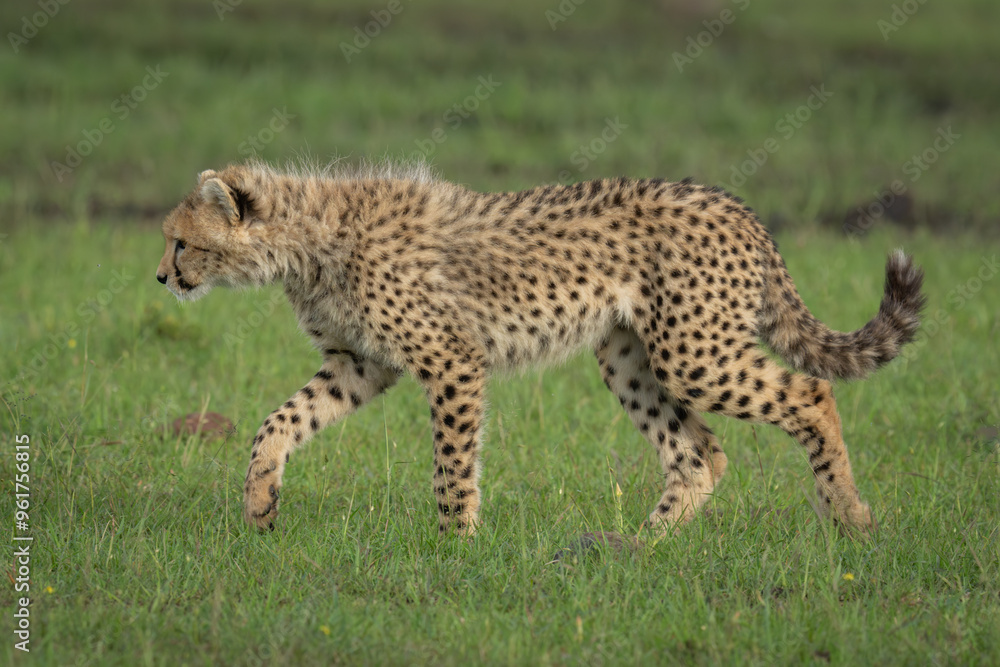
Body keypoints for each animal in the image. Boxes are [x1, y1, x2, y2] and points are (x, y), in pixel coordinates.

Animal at [156, 160, 925, 542]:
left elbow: (452, 464)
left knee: (810, 394)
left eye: (181, 242)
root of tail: (736, 204)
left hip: (692, 351)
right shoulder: (361, 364)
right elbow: (279, 421)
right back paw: (640, 548)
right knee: (700, 451)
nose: (161, 277)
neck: (307, 235)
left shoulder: (451, 359)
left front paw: (455, 545)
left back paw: (849, 516)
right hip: (630, 356)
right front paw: (260, 501)